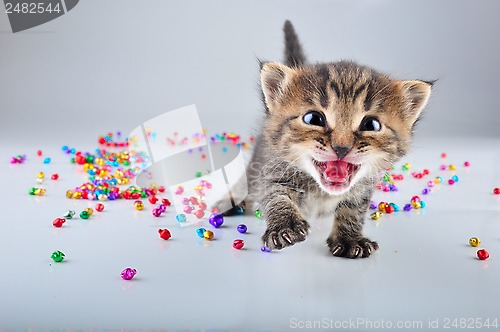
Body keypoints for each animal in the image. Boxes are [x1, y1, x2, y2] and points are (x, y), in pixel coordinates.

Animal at [244, 20, 432, 260]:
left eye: (371, 125)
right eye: (313, 119)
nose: (341, 147)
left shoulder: (362, 189)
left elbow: (353, 210)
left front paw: (349, 239)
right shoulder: (272, 170)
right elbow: (276, 197)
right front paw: (285, 225)